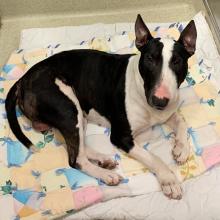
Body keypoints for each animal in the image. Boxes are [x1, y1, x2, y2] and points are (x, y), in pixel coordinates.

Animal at [6, 14, 197, 199]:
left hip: (76, 115)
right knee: (76, 159)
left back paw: (103, 160)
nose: (159, 101)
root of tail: (23, 79)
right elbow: (153, 157)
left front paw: (182, 148)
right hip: (68, 107)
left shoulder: (166, 112)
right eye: (150, 59)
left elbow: (181, 120)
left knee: (77, 146)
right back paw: (106, 175)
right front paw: (169, 180)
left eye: (177, 61)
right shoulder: (121, 137)